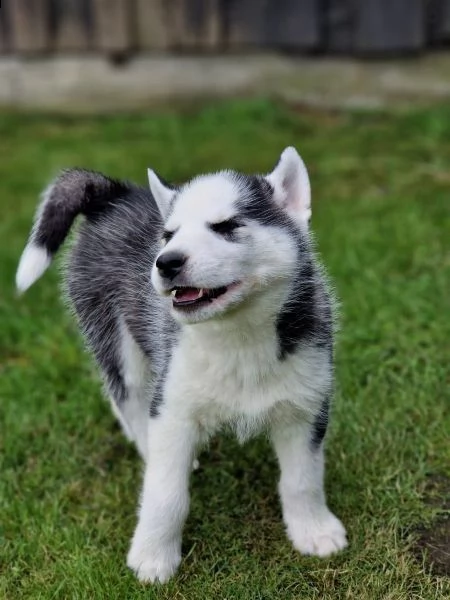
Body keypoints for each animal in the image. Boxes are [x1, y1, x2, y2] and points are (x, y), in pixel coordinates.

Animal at [16, 148, 348, 584]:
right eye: (168, 235)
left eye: (227, 226)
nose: (166, 262)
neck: (237, 336)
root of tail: (117, 194)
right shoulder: (172, 406)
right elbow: (166, 493)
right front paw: (153, 557)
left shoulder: (306, 404)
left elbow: (303, 479)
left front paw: (314, 531)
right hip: (118, 344)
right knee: (129, 404)